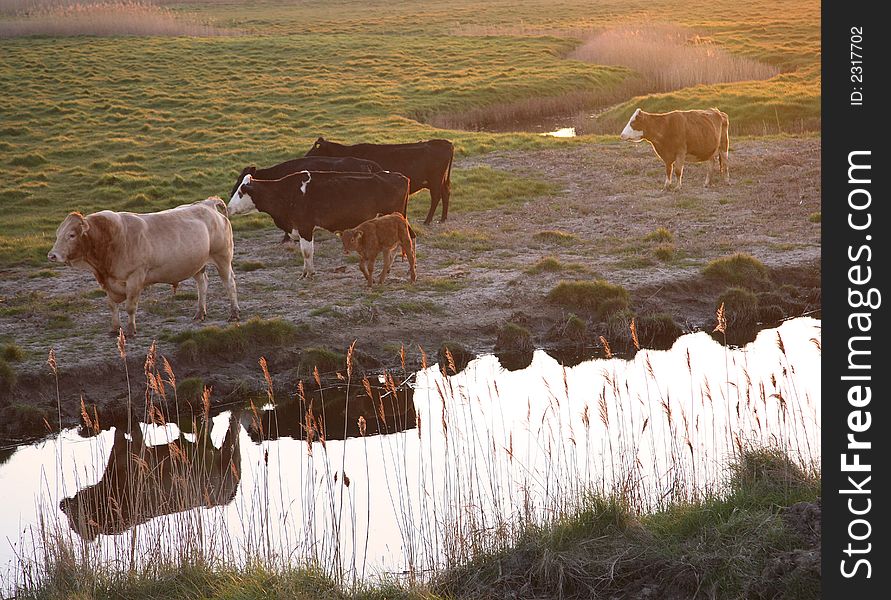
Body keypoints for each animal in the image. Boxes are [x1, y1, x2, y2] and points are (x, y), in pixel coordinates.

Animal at [47, 198, 237, 336]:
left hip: (222, 258)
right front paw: (114, 329)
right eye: (57, 234)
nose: (52, 255)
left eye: (71, 235)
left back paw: (234, 314)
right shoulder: (108, 283)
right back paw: (200, 313)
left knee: (229, 284)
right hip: (197, 264)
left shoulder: (135, 277)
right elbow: (112, 306)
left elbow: (130, 307)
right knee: (202, 284)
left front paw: (131, 330)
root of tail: (207, 204)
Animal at [60, 412, 242, 540]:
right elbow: (119, 433)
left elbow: (136, 433)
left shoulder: (139, 455)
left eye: (73, 521)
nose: (63, 503)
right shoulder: (118, 451)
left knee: (233, 433)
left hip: (229, 459)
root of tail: (228, 498)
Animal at [228, 171, 412, 278]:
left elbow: (307, 251)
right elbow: (305, 252)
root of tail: (401, 176)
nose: (228, 208)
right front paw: (305, 272)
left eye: (240, 192)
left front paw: (309, 273)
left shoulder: (305, 227)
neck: (286, 193)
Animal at [304, 136, 452, 225]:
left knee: (436, 196)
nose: (305, 156)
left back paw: (428, 220)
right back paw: (443, 218)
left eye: (316, 148)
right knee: (446, 193)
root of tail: (446, 143)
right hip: (440, 180)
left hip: (435, 180)